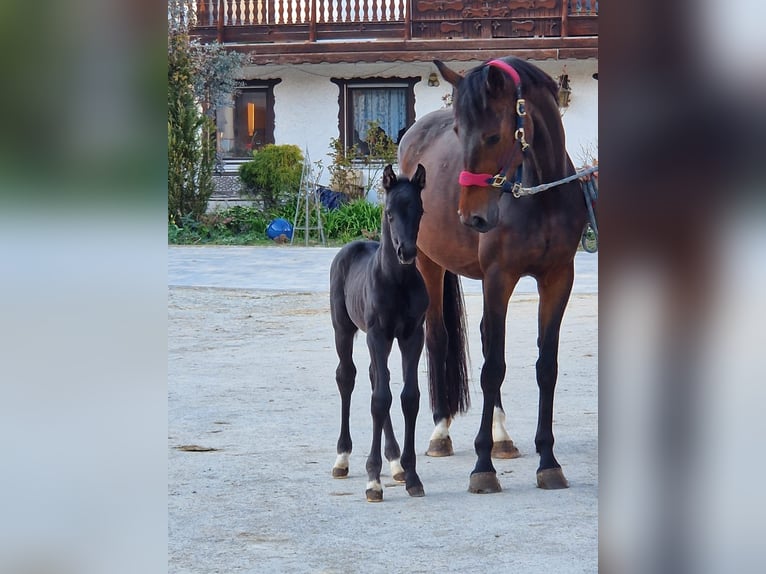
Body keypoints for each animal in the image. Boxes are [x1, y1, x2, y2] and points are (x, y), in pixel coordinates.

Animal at [329, 163, 429, 502]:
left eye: (420, 210)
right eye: (389, 213)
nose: (406, 252)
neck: (396, 281)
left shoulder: (412, 335)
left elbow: (408, 397)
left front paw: (412, 476)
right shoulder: (377, 334)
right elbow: (379, 398)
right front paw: (373, 480)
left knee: (375, 376)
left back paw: (395, 464)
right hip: (343, 329)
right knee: (347, 377)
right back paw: (342, 458)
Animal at [397, 56, 590, 493]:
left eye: (492, 135)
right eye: (458, 132)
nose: (472, 217)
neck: (541, 196)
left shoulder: (558, 279)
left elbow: (545, 366)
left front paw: (548, 461)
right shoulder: (499, 277)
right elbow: (492, 368)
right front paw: (482, 467)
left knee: (486, 338)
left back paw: (502, 438)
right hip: (427, 263)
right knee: (439, 338)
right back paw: (441, 432)